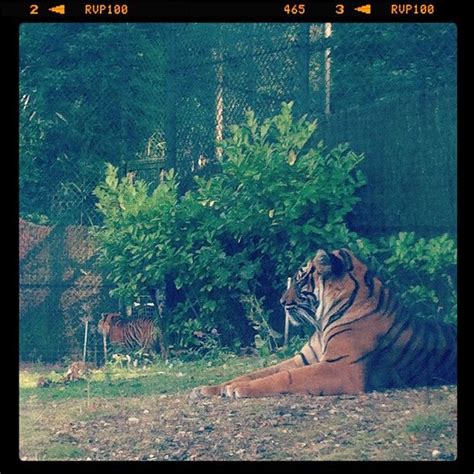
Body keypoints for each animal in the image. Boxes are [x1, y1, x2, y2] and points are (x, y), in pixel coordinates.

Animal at [191, 248, 458, 400]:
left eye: (300, 281)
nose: (281, 301)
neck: (322, 322)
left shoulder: (342, 368)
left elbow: (284, 378)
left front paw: (237, 389)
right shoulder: (302, 359)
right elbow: (258, 372)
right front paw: (212, 388)